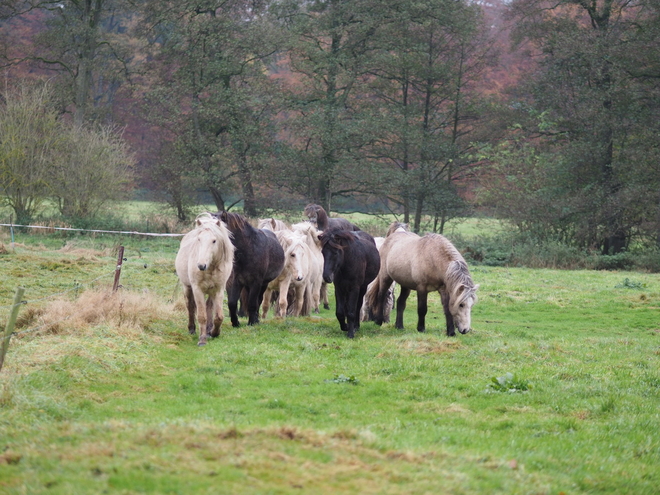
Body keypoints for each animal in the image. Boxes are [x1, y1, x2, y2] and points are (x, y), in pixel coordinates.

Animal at [175, 213, 235, 344]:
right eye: (199, 239)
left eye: (214, 241)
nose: (201, 265)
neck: (210, 269)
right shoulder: (197, 290)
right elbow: (202, 316)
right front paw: (202, 340)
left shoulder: (219, 290)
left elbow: (218, 316)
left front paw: (214, 332)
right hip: (187, 287)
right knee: (190, 306)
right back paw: (192, 329)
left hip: (211, 292)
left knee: (209, 307)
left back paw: (208, 330)